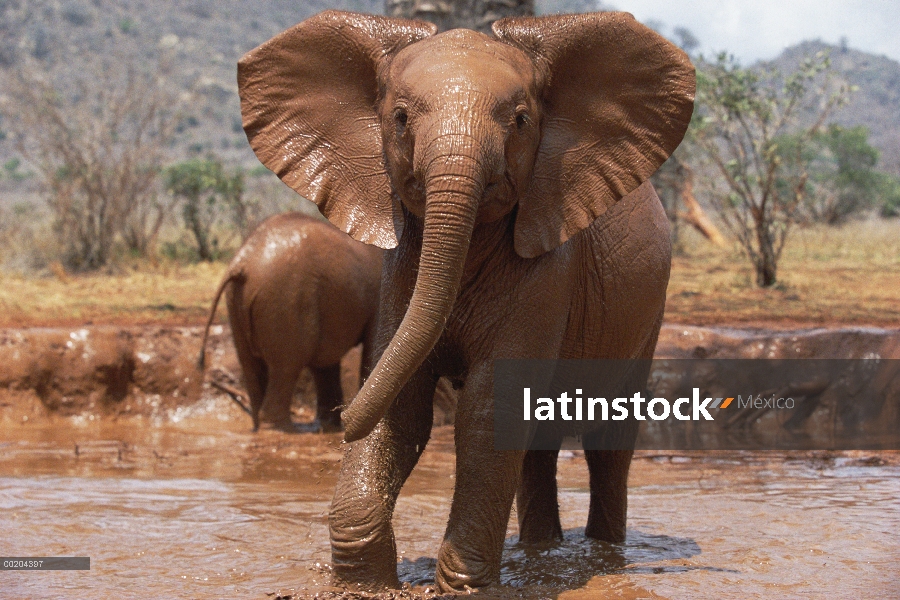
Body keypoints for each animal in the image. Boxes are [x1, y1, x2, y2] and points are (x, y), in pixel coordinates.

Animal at [199, 211, 382, 432]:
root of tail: (242, 262)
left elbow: (325, 362)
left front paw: (330, 427)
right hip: (285, 300)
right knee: (287, 365)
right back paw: (286, 430)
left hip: (238, 301)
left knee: (252, 365)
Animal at [236, 9, 692, 592]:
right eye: (400, 118)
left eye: (520, 120)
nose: (342, 416)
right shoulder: (401, 265)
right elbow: (401, 403)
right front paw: (365, 584)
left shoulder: (549, 268)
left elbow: (490, 408)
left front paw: (462, 587)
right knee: (539, 442)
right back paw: (541, 553)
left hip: (647, 315)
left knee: (608, 441)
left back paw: (603, 556)